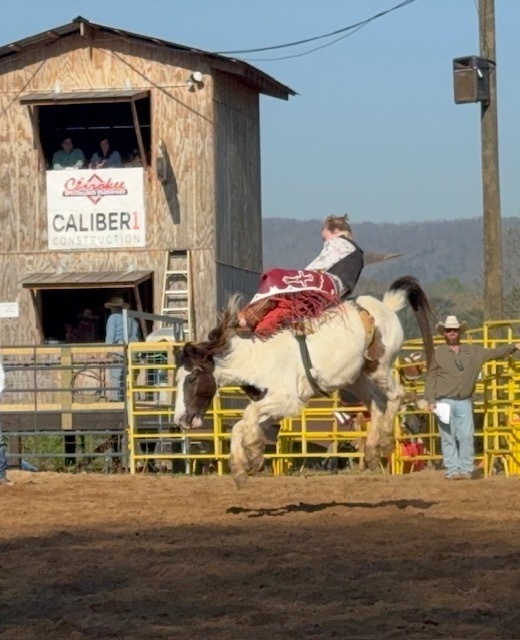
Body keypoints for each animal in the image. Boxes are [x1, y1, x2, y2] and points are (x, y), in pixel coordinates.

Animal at [173, 276, 435, 487]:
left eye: (191, 378)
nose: (181, 419)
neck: (254, 356)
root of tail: (387, 306)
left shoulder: (287, 400)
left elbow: (248, 415)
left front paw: (254, 454)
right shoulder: (274, 406)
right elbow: (242, 424)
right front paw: (240, 468)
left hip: (379, 367)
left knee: (395, 395)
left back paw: (386, 443)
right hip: (357, 378)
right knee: (376, 403)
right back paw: (371, 451)